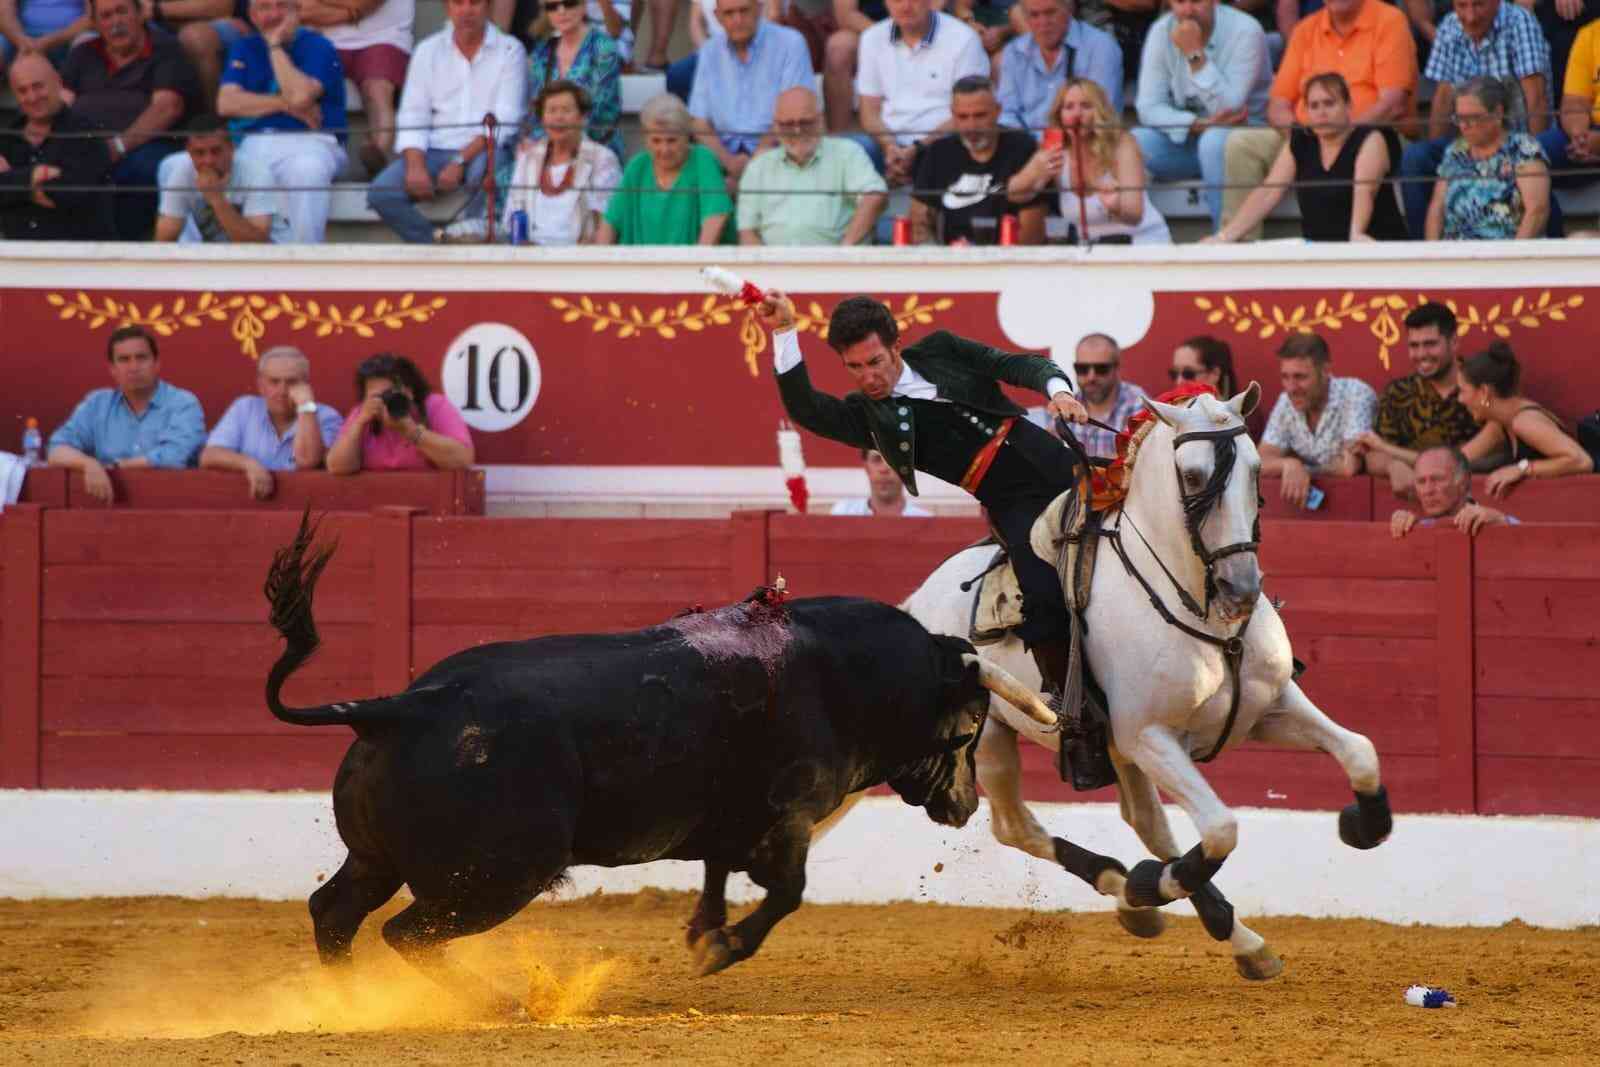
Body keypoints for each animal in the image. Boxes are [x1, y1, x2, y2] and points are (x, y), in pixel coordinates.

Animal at [263, 515, 1057, 1013]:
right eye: (966, 730)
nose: (964, 806)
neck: (846, 672)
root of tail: (405, 704)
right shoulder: (788, 818)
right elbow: (788, 892)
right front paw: (721, 949)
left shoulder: (731, 824)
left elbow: (715, 875)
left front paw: (702, 933)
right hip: (497, 874)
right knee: (405, 933)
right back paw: (498, 1001)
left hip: (379, 858)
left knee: (334, 911)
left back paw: (349, 1000)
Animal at [901, 385, 1393, 980]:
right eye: (1193, 476)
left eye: (1256, 470)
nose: (1242, 589)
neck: (1203, 612)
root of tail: (918, 598)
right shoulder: (1151, 737)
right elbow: (1222, 827)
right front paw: (1149, 885)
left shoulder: (1270, 708)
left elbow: (1360, 750)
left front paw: (1362, 825)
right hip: (997, 735)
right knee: (1016, 826)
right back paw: (1136, 889)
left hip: (1112, 749)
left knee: (1142, 821)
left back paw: (1207, 927)